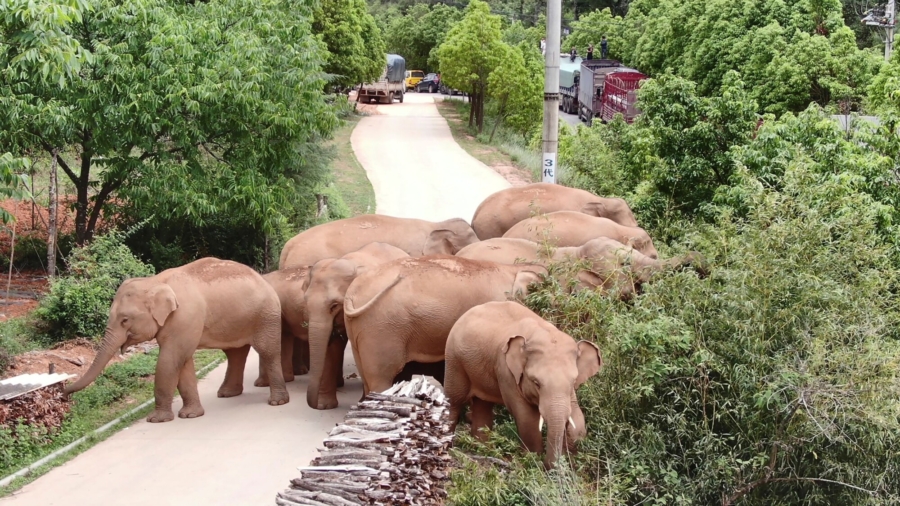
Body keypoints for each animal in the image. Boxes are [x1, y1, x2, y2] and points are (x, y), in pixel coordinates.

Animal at [63, 258, 288, 423]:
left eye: (125, 320)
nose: (64, 394)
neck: (155, 280)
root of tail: (263, 278)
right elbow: (183, 361)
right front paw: (191, 415)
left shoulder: (184, 317)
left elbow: (171, 359)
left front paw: (157, 420)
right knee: (235, 353)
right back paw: (227, 394)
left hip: (266, 315)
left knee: (267, 351)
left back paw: (277, 402)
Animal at [305, 242, 410, 410]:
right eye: (305, 302)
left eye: (334, 305)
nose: (314, 405)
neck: (350, 261)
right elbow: (331, 347)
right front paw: (325, 406)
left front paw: (361, 402)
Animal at [444, 301, 602, 469]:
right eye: (536, 382)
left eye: (573, 381)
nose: (550, 466)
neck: (541, 332)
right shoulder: (506, 371)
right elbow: (527, 417)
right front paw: (532, 461)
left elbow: (577, 417)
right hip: (454, 360)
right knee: (454, 400)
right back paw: (447, 448)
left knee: (483, 404)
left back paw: (483, 449)